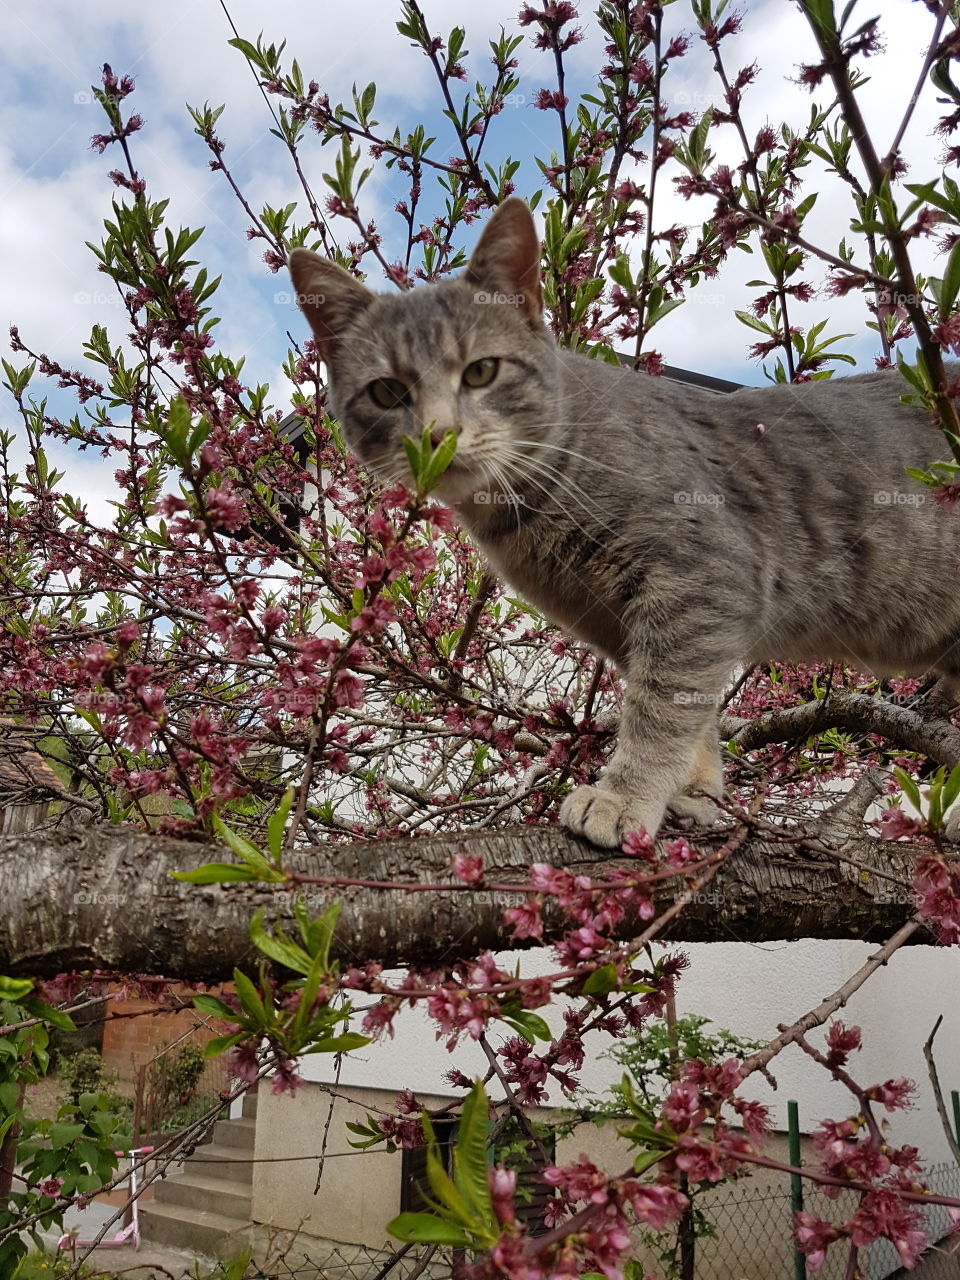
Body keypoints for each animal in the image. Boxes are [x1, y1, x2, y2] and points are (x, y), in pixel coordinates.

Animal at [289, 199, 960, 849]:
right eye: (386, 391)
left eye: (480, 372)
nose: (437, 434)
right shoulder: (628, 624)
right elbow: (692, 719)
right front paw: (693, 796)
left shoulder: (701, 585)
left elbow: (659, 711)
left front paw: (623, 797)